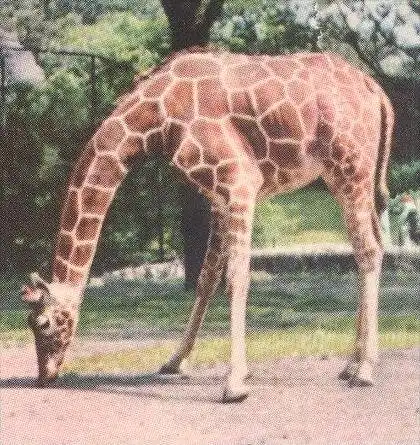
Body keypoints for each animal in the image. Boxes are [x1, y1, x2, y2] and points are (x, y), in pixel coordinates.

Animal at [21, 46, 394, 400]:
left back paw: (365, 370)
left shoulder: (240, 181)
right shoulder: (216, 197)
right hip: (347, 178)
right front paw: (175, 362)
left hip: (351, 169)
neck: (156, 118)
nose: (45, 376)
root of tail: (377, 91)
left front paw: (235, 384)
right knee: (371, 248)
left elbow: (237, 277)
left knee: (368, 252)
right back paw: (351, 364)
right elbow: (206, 278)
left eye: (43, 324)